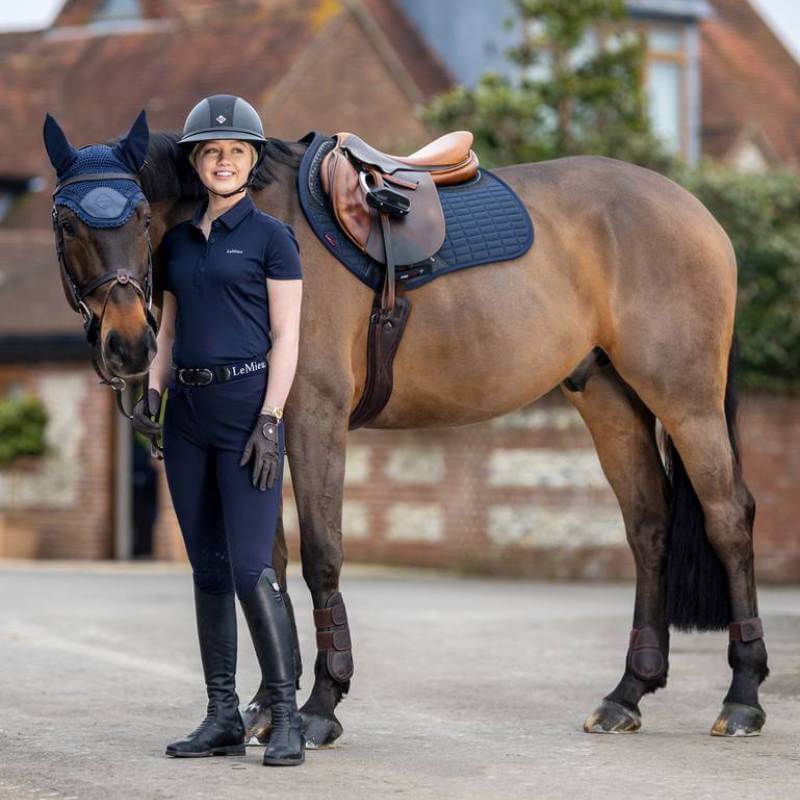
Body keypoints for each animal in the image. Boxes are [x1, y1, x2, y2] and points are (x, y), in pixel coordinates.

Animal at [43, 112, 768, 747]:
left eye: (141, 216)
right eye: (67, 221)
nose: (128, 345)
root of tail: (696, 212)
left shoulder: (313, 420)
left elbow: (323, 556)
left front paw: (320, 706)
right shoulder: (261, 438)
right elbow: (269, 563)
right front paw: (266, 707)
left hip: (685, 397)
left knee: (727, 517)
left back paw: (743, 697)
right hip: (609, 396)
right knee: (648, 526)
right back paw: (627, 694)